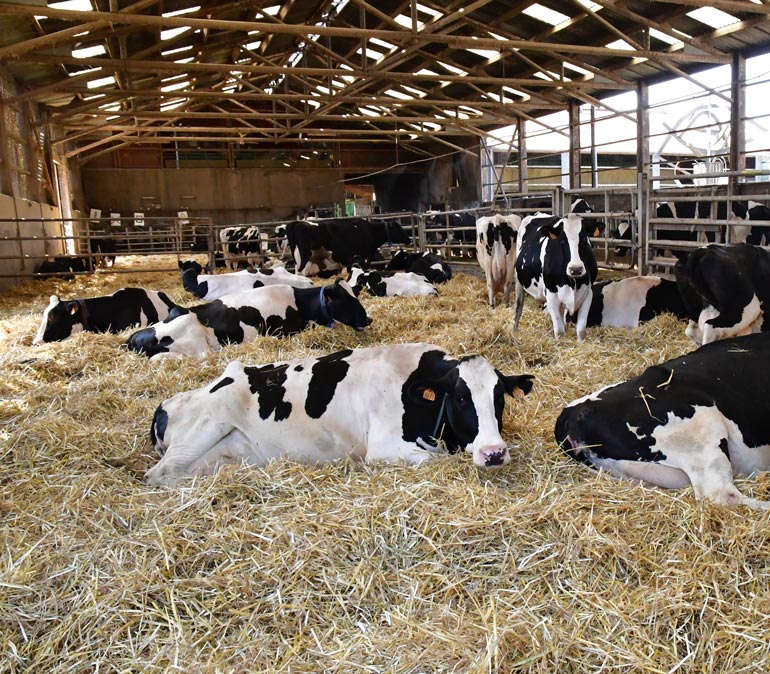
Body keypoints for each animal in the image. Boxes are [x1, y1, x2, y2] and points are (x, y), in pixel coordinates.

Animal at [125, 278, 368, 360]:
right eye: (347, 300)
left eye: (355, 295)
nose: (368, 319)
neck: (298, 302)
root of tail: (133, 339)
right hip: (197, 344)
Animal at [142, 342, 536, 484]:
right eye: (459, 398)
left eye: (499, 398)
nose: (494, 453)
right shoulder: (385, 448)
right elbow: (434, 460)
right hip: (206, 426)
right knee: (157, 474)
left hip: (230, 454)